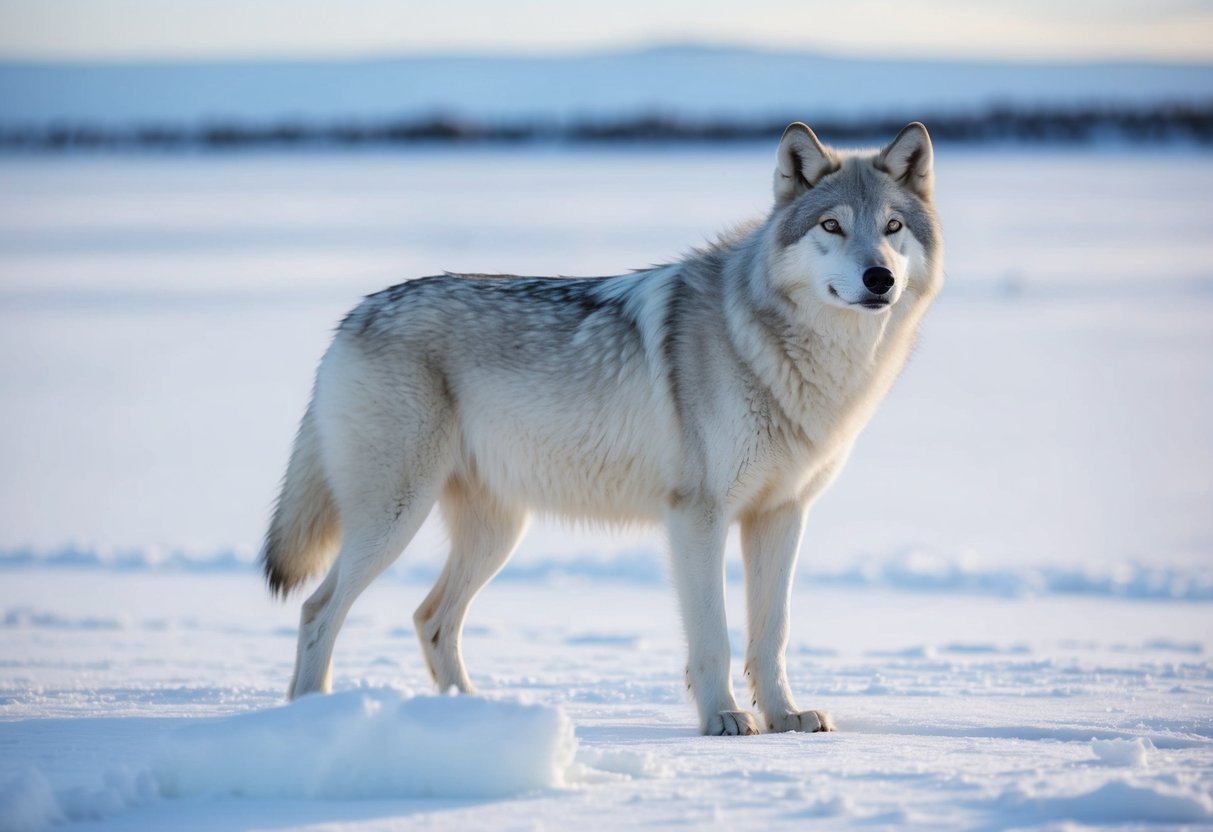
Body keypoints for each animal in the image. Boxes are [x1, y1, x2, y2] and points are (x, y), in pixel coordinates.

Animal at [262, 122, 943, 735]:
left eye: (892, 228)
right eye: (832, 226)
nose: (879, 278)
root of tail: (352, 317)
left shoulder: (782, 514)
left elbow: (771, 635)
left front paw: (784, 717)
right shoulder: (698, 517)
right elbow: (715, 637)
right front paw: (723, 718)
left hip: (496, 532)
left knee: (431, 618)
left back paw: (476, 722)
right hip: (395, 518)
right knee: (318, 610)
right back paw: (313, 719)